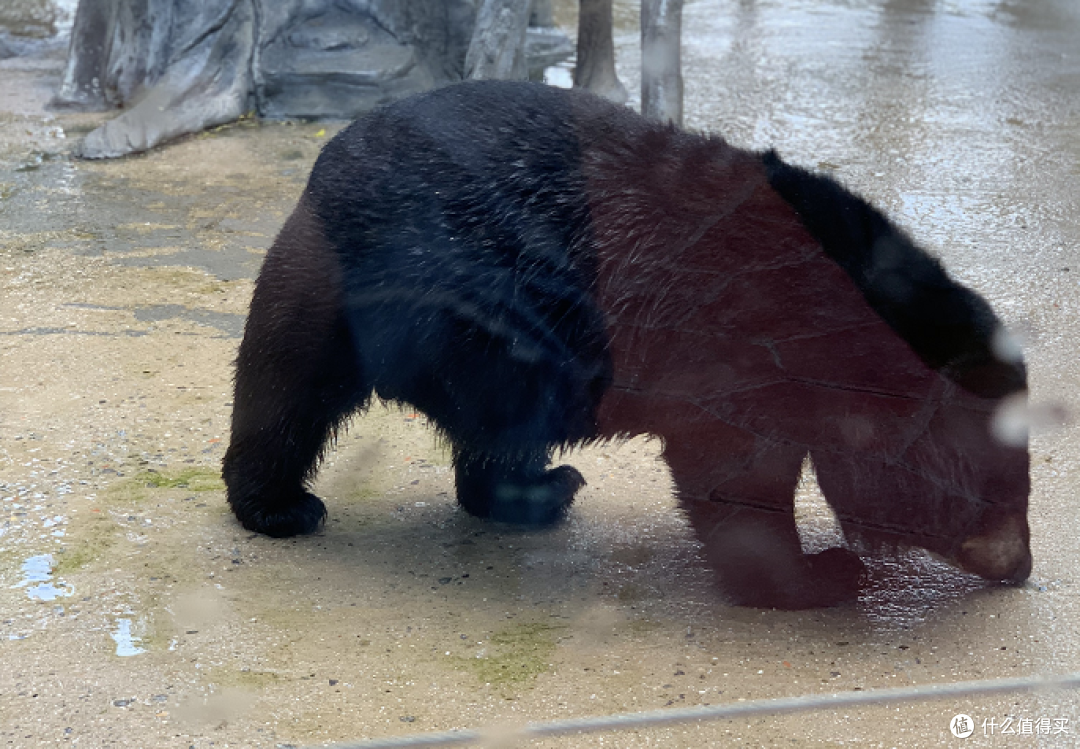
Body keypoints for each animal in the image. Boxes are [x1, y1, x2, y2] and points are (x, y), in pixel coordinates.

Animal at [223, 80, 1031, 609]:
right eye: (1001, 487)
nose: (1022, 565)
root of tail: (331, 152)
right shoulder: (736, 344)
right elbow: (733, 475)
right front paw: (819, 575)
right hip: (345, 284)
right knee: (285, 388)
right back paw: (277, 505)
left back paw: (536, 490)